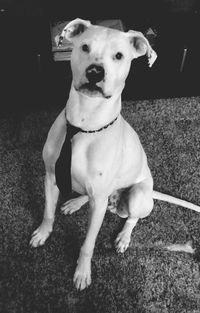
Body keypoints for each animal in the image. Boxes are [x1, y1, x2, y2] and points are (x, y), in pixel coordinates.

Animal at [29, 18, 200, 288]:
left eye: (119, 56)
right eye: (85, 47)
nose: (95, 72)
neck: (84, 124)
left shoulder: (98, 206)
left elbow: (88, 244)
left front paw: (82, 272)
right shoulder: (50, 177)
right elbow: (48, 213)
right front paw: (43, 234)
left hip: (137, 195)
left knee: (132, 218)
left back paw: (123, 238)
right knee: (90, 197)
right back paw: (75, 202)